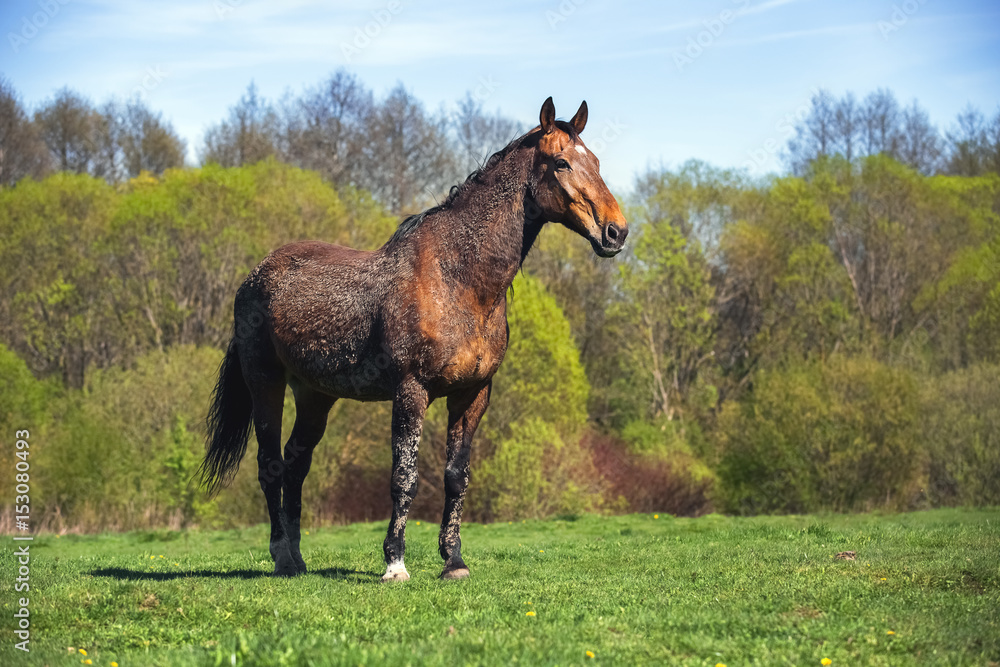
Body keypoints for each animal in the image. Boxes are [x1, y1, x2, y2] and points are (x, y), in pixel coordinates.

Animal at [200, 97, 628, 581]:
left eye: (596, 162)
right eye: (560, 162)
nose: (616, 231)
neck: (457, 279)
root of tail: (254, 277)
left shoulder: (474, 394)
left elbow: (456, 476)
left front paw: (454, 560)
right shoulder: (411, 390)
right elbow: (404, 477)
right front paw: (395, 562)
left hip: (315, 395)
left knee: (295, 463)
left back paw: (297, 558)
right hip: (265, 384)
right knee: (270, 465)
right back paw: (282, 557)